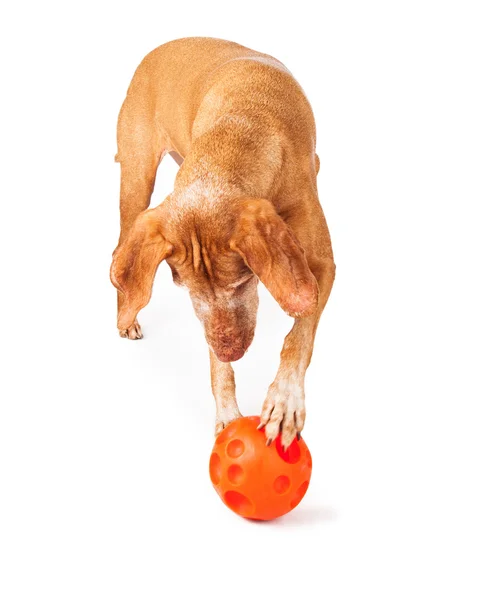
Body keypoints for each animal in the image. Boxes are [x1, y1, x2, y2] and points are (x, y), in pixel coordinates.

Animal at [111, 37, 338, 448]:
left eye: (244, 281)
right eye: (185, 288)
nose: (230, 349)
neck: (240, 131)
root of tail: (158, 48)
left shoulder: (321, 267)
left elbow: (299, 335)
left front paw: (284, 400)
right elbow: (219, 362)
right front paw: (228, 415)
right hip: (136, 182)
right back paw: (127, 318)